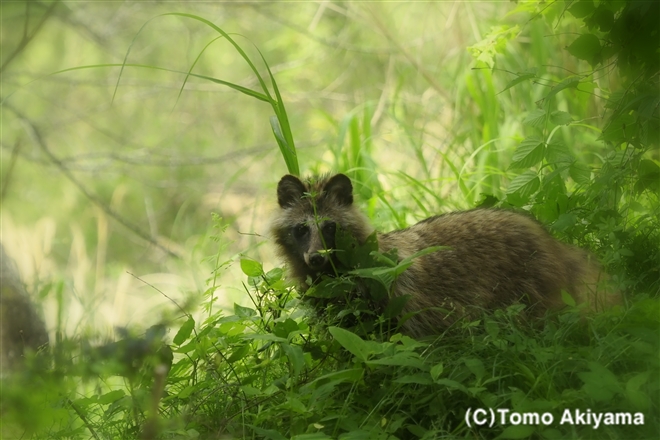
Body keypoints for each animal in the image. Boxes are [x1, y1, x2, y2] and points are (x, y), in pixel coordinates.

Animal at [270, 173, 612, 336]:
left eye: (330, 227)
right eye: (302, 229)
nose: (316, 258)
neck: (332, 273)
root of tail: (552, 241)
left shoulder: (392, 298)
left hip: (530, 287)